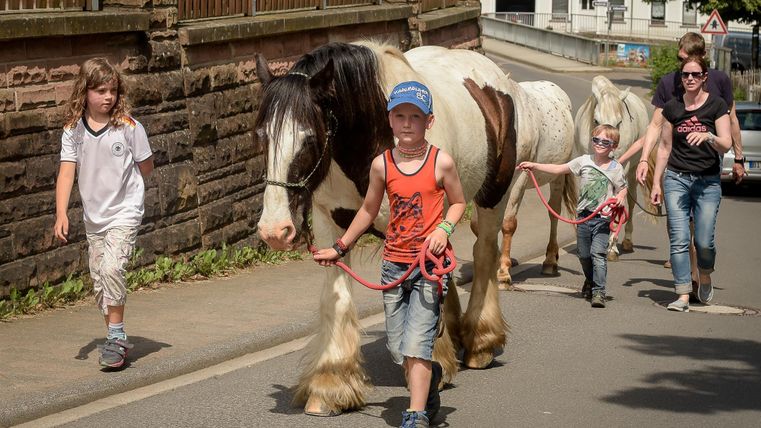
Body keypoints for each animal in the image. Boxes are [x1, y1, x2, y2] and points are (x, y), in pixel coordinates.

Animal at [254, 40, 567, 416]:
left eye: (310, 138)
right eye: (261, 137)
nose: (275, 230)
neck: (372, 135)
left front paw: (434, 364)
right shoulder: (331, 222)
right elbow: (338, 297)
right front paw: (331, 384)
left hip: (496, 194)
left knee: (484, 254)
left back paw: (480, 341)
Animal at [574, 75, 654, 260]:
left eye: (619, 122)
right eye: (596, 120)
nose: (609, 149)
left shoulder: (621, 171)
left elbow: (616, 205)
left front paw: (611, 248)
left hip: (632, 171)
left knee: (630, 202)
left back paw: (626, 241)